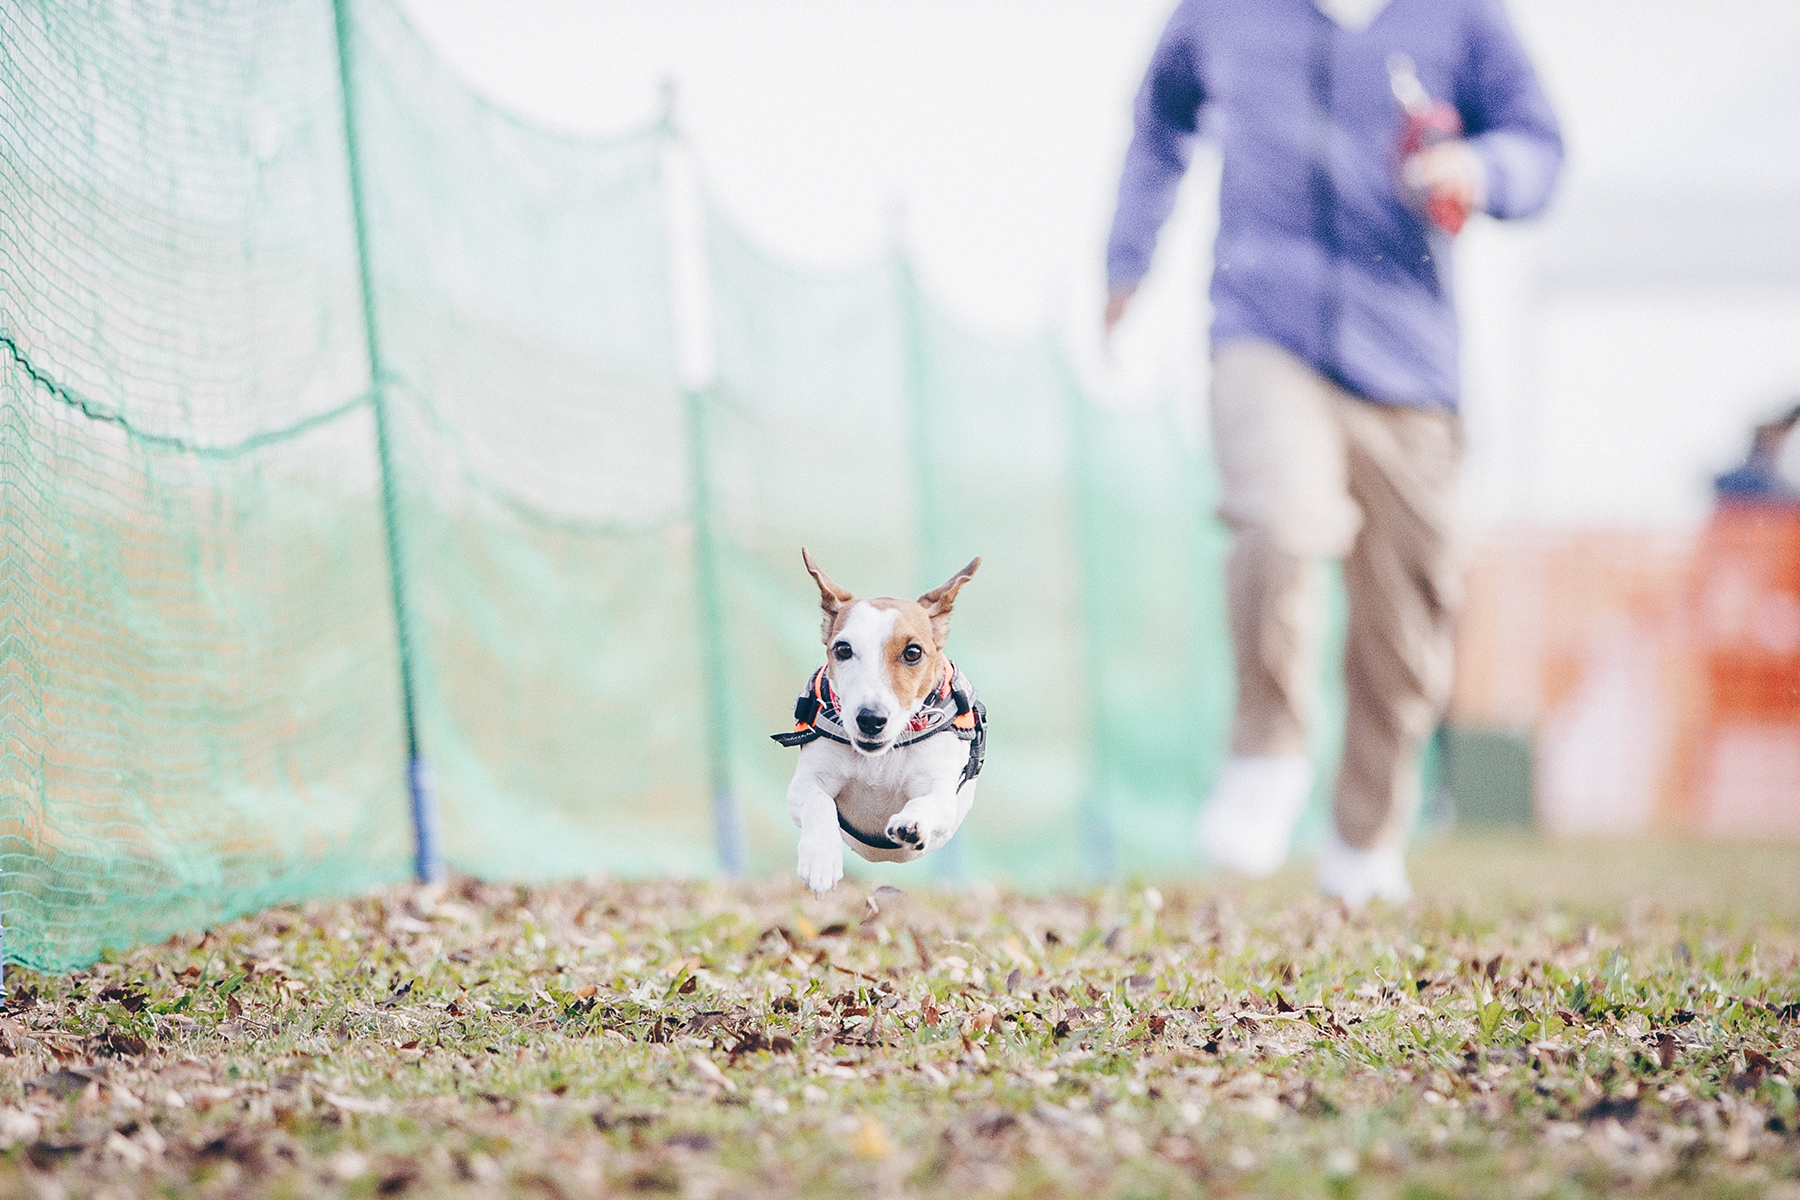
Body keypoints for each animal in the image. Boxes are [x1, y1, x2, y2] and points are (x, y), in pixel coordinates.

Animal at [770, 550, 986, 895]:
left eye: (913, 652)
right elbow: (818, 801)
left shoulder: (942, 795)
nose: (870, 719)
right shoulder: (805, 783)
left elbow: (930, 802)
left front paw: (911, 823)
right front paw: (820, 858)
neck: (879, 760)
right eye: (843, 649)